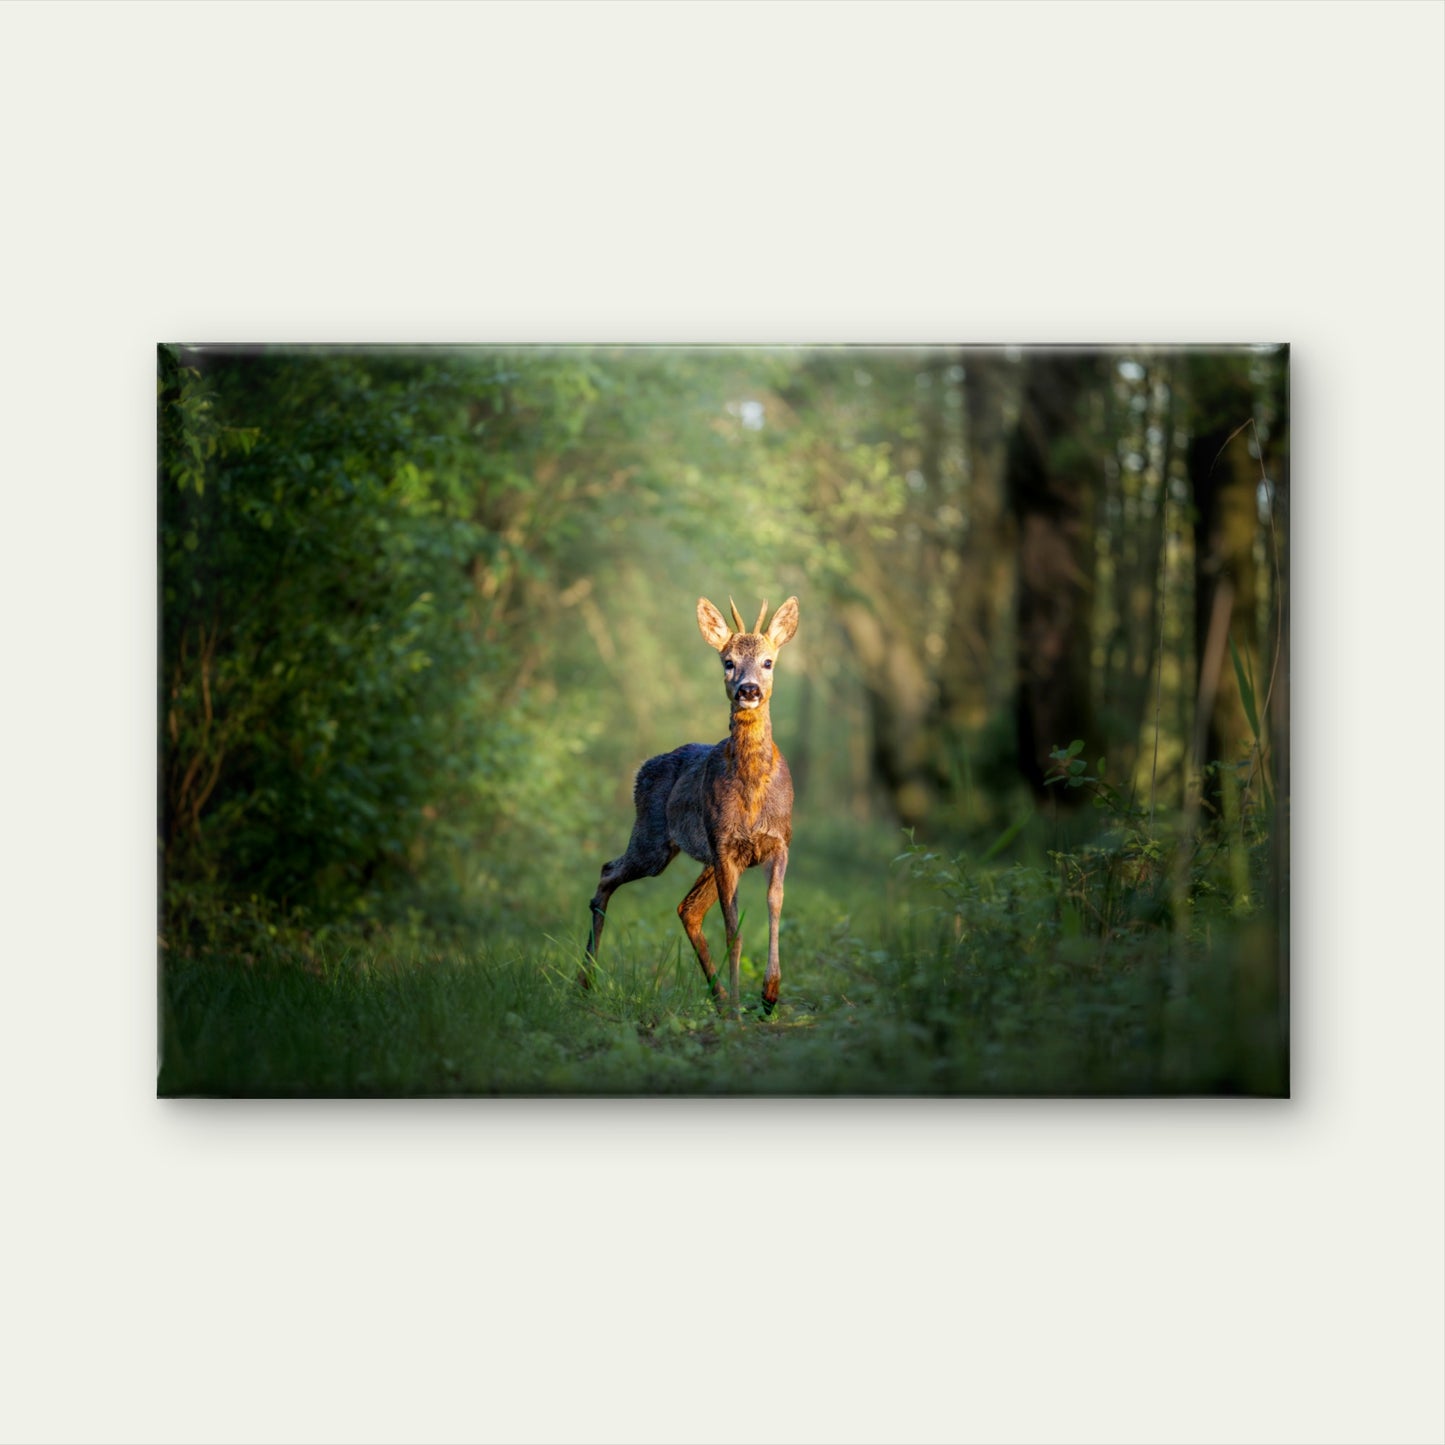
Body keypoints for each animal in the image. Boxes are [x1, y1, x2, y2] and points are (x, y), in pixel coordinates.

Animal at [581, 595, 800, 1020]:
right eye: (728, 661)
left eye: (768, 662)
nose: (748, 689)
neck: (753, 794)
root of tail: (641, 769)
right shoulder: (724, 845)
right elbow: (733, 928)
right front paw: (740, 1011)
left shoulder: (780, 840)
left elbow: (775, 904)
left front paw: (769, 995)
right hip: (654, 841)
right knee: (607, 872)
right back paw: (584, 983)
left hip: (699, 857)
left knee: (687, 908)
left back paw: (717, 997)